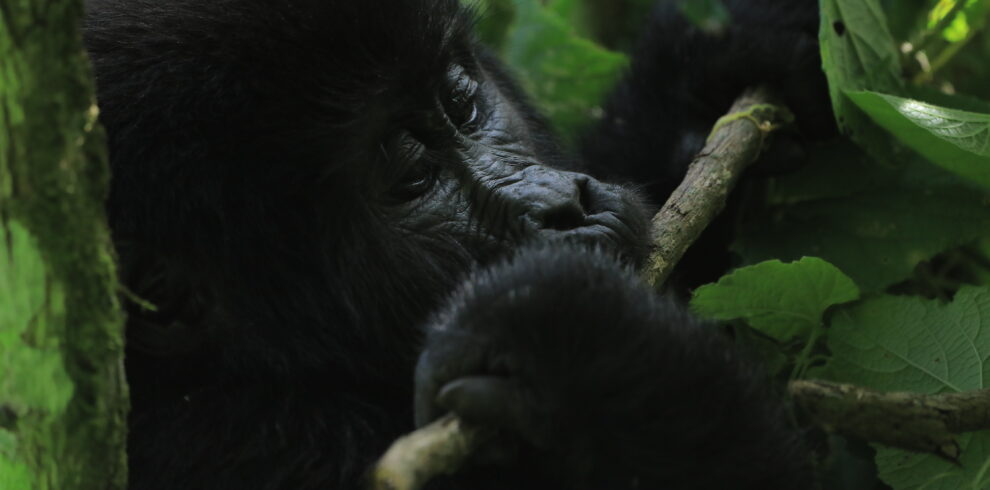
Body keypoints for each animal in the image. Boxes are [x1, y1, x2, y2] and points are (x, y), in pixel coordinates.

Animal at [83, 0, 828, 488]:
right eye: (413, 176)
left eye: (462, 101)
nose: (567, 206)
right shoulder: (275, 456)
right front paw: (578, 345)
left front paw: (706, 67)